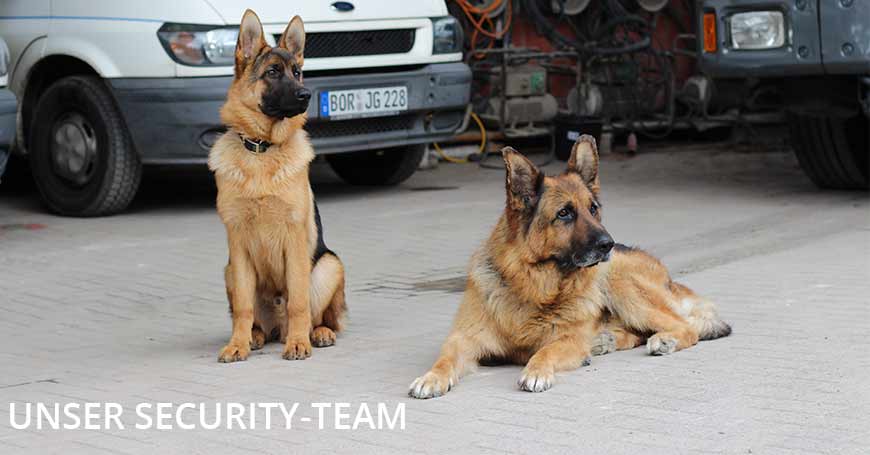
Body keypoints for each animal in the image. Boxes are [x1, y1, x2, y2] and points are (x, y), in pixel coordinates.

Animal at [209, 9, 346, 364]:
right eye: (272, 72)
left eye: (297, 72)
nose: (305, 95)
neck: (262, 148)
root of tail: (276, 329)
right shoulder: (238, 246)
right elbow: (243, 308)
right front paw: (237, 344)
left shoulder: (294, 240)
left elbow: (298, 301)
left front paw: (298, 344)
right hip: (229, 271)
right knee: (254, 319)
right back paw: (255, 337)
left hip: (329, 265)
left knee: (323, 316)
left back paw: (315, 333)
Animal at [412, 136, 732, 400]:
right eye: (564, 213)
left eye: (593, 209)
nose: (608, 244)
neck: (532, 283)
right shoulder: (463, 339)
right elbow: (445, 358)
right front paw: (431, 377)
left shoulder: (567, 339)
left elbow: (546, 350)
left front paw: (536, 370)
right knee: (640, 331)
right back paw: (606, 340)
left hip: (621, 282)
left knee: (685, 327)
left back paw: (663, 339)